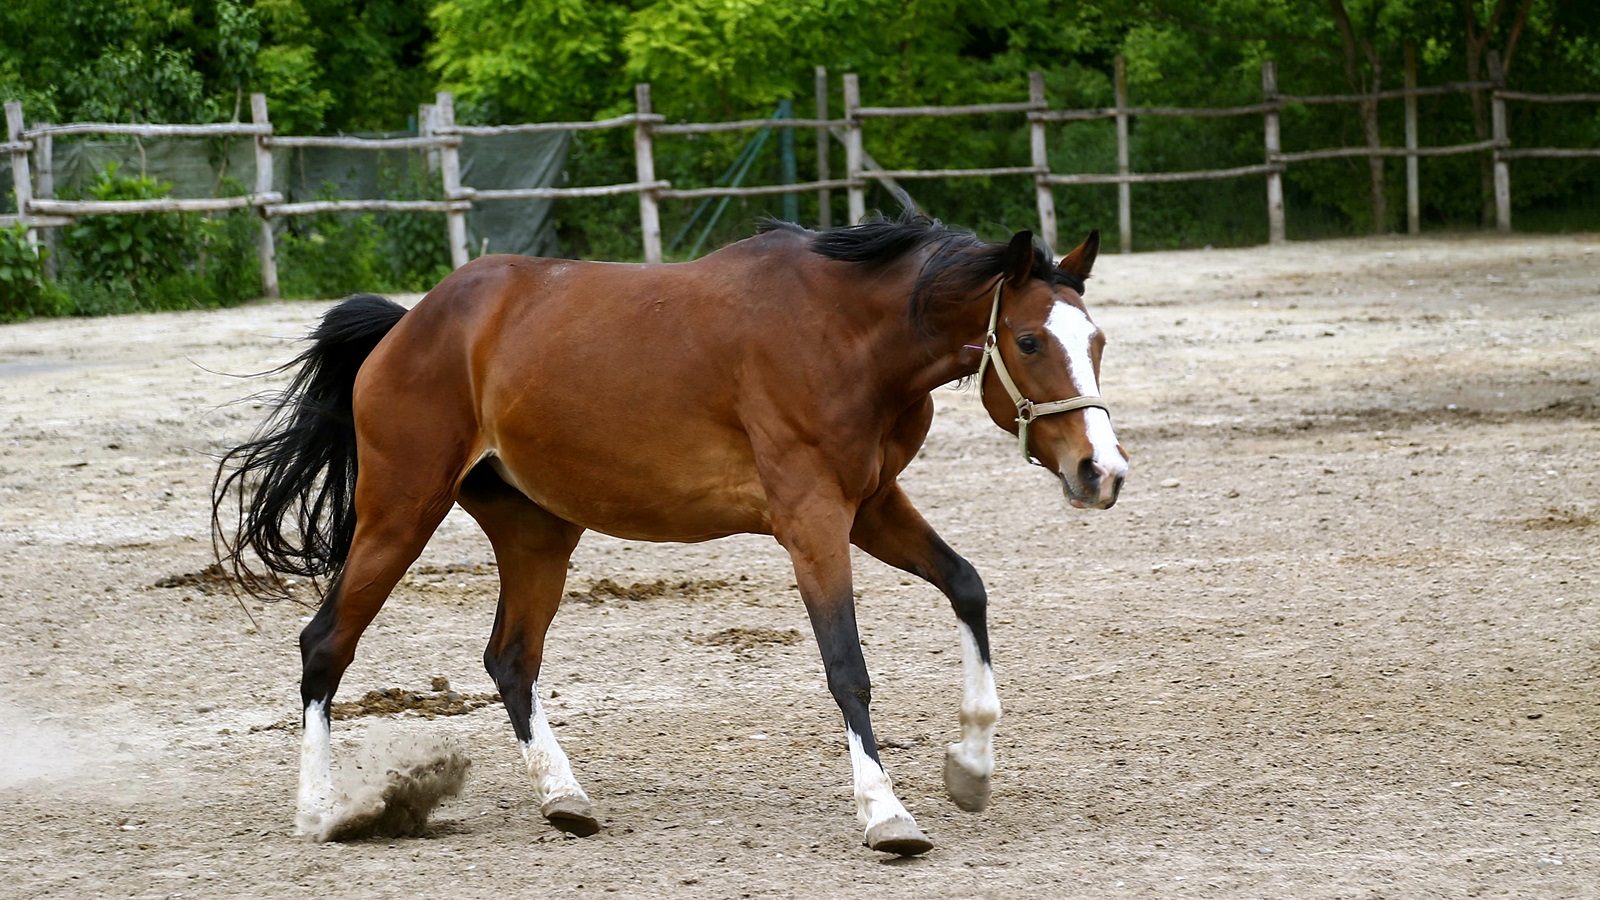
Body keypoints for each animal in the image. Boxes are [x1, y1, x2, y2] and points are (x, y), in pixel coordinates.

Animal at [216, 212, 1126, 851]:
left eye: (1098, 340)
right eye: (1029, 339)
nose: (1102, 472)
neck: (847, 336)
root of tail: (411, 324)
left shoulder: (870, 505)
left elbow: (968, 587)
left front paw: (970, 769)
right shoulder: (812, 518)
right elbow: (848, 668)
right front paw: (885, 812)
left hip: (538, 532)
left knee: (510, 659)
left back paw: (565, 798)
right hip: (401, 511)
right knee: (326, 645)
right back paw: (321, 812)